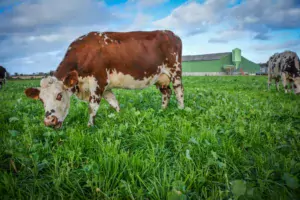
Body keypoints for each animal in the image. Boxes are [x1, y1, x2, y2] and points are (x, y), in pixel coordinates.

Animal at [24, 30, 183, 129]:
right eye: (41, 100)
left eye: (59, 95)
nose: (49, 122)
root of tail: (170, 33)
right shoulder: (106, 88)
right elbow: (114, 104)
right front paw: (121, 118)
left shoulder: (98, 82)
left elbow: (92, 107)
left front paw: (89, 127)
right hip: (160, 78)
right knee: (166, 93)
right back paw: (162, 111)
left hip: (175, 71)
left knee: (179, 92)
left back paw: (181, 110)